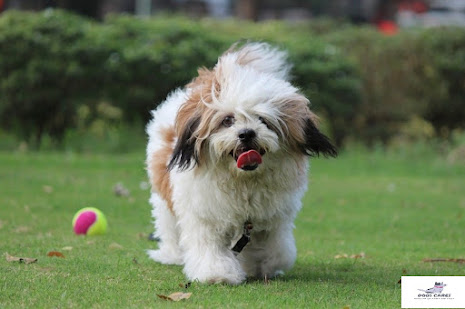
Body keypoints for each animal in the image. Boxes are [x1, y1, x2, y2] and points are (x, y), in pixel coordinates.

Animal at [144, 41, 334, 284]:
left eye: (263, 120)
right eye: (227, 120)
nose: (246, 133)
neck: (243, 181)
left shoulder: (272, 219)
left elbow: (277, 250)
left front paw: (262, 266)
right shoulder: (204, 214)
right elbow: (209, 246)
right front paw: (217, 273)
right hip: (164, 198)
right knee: (169, 226)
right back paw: (172, 255)